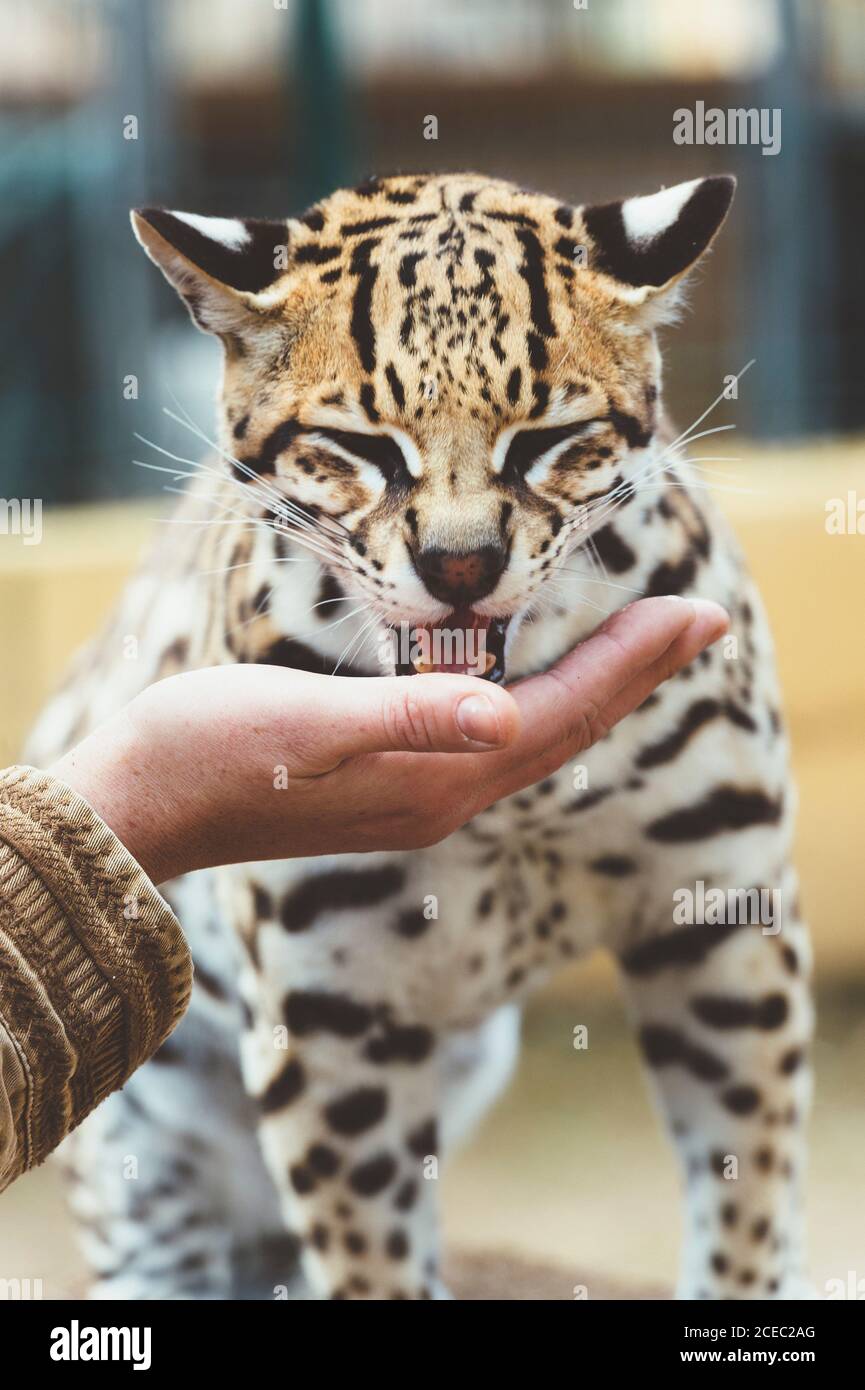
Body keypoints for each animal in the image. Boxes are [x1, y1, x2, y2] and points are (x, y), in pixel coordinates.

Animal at [26, 170, 814, 1301]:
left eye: (545, 439)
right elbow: (372, 1257)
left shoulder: (720, 918)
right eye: (361, 447)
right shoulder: (330, 1011)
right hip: (144, 1150)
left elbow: (747, 1193)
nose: (459, 566)